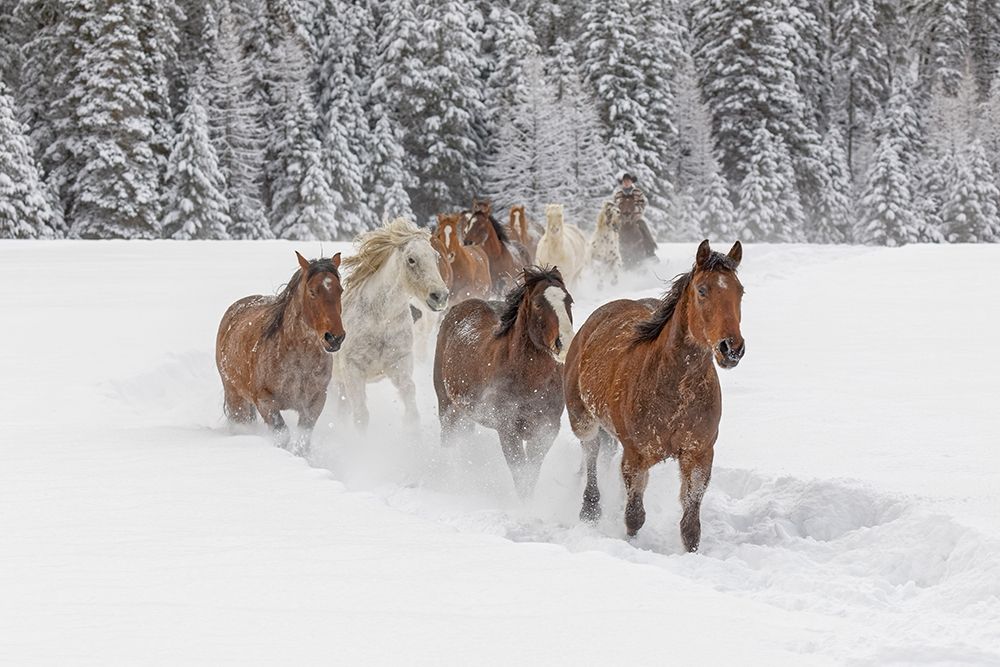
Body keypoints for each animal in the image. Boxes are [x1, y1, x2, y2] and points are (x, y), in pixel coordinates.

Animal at [216, 252, 346, 456]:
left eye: (340, 290)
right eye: (312, 292)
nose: (334, 338)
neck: (299, 363)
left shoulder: (315, 402)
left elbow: (303, 439)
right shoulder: (265, 401)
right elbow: (282, 433)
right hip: (235, 397)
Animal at [333, 218, 449, 430]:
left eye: (436, 257)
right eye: (411, 259)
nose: (440, 296)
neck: (380, 321)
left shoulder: (399, 363)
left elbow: (412, 410)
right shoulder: (352, 370)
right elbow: (361, 416)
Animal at [434, 266, 574, 496]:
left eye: (569, 301)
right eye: (538, 304)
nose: (565, 343)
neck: (531, 382)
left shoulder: (546, 430)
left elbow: (531, 473)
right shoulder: (508, 430)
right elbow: (521, 474)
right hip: (446, 405)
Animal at [563, 240, 745, 552]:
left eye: (740, 291)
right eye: (702, 290)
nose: (731, 348)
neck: (675, 388)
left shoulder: (699, 455)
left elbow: (690, 525)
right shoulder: (636, 456)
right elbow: (635, 516)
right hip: (583, 420)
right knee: (591, 454)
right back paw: (590, 509)